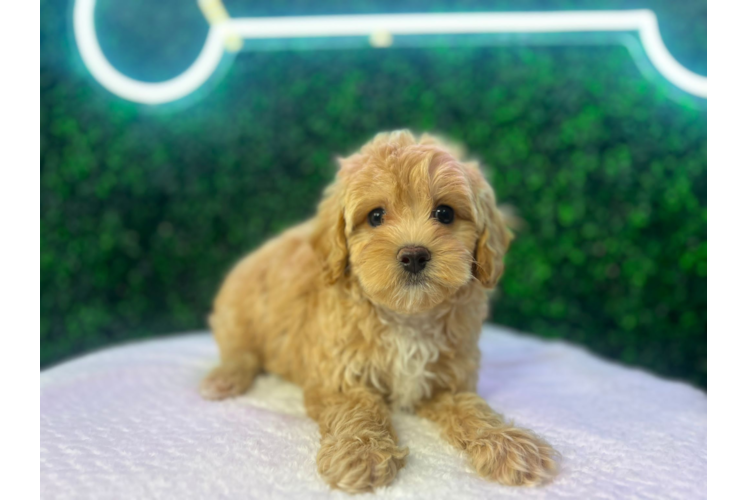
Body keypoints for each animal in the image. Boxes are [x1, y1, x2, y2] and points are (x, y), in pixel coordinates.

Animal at [202, 130, 560, 492]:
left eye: (445, 213)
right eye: (375, 216)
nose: (414, 255)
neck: (408, 318)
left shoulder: (449, 381)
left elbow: (471, 408)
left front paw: (506, 443)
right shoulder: (337, 376)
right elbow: (358, 407)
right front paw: (361, 453)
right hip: (238, 311)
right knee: (240, 351)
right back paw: (224, 379)